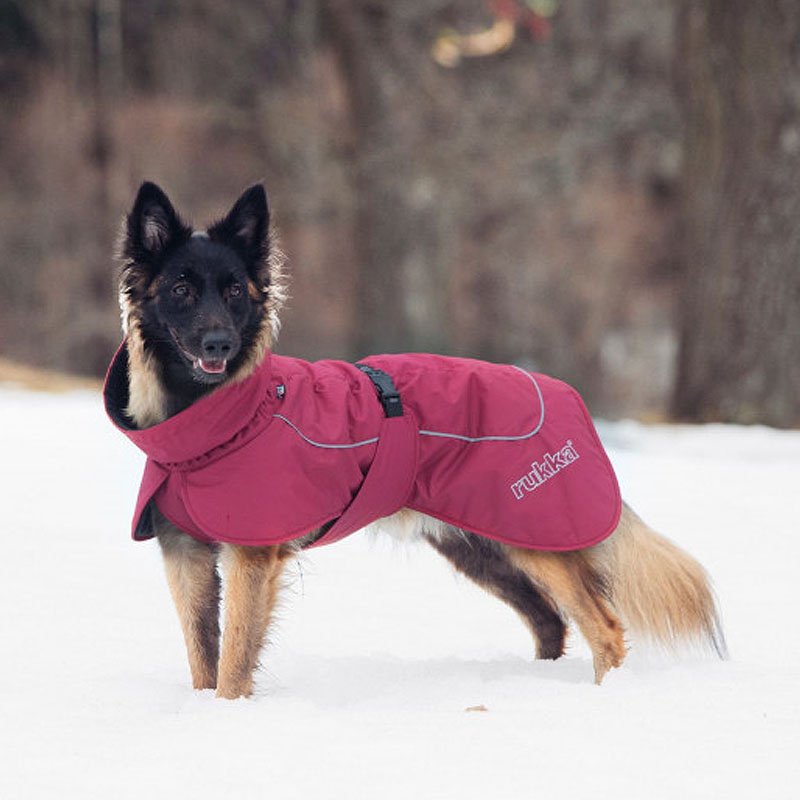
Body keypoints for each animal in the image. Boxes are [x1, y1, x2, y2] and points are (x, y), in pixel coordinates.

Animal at [106, 184, 724, 696]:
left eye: (235, 291)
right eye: (182, 289)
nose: (219, 343)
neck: (217, 425)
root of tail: (565, 395)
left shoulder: (250, 557)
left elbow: (233, 661)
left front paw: (229, 714)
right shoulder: (185, 556)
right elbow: (202, 656)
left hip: (533, 538)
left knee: (604, 628)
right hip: (483, 546)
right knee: (551, 621)